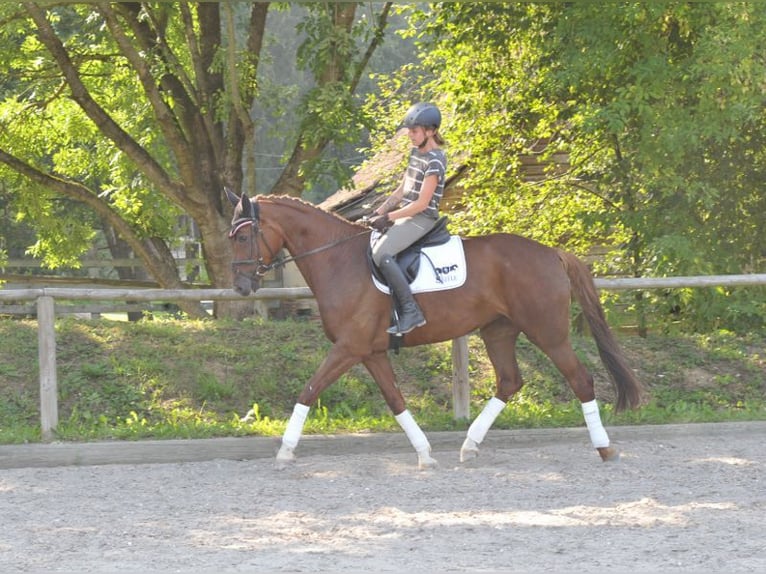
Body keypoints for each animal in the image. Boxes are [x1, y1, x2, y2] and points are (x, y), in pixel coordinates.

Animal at [226, 191, 640, 470]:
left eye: (244, 237)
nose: (241, 287)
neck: (337, 259)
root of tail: (552, 252)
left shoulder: (349, 347)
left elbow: (309, 390)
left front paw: (284, 451)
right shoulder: (370, 351)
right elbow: (395, 400)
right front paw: (425, 455)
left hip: (548, 332)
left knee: (580, 379)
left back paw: (605, 448)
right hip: (498, 331)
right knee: (509, 381)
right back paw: (470, 446)